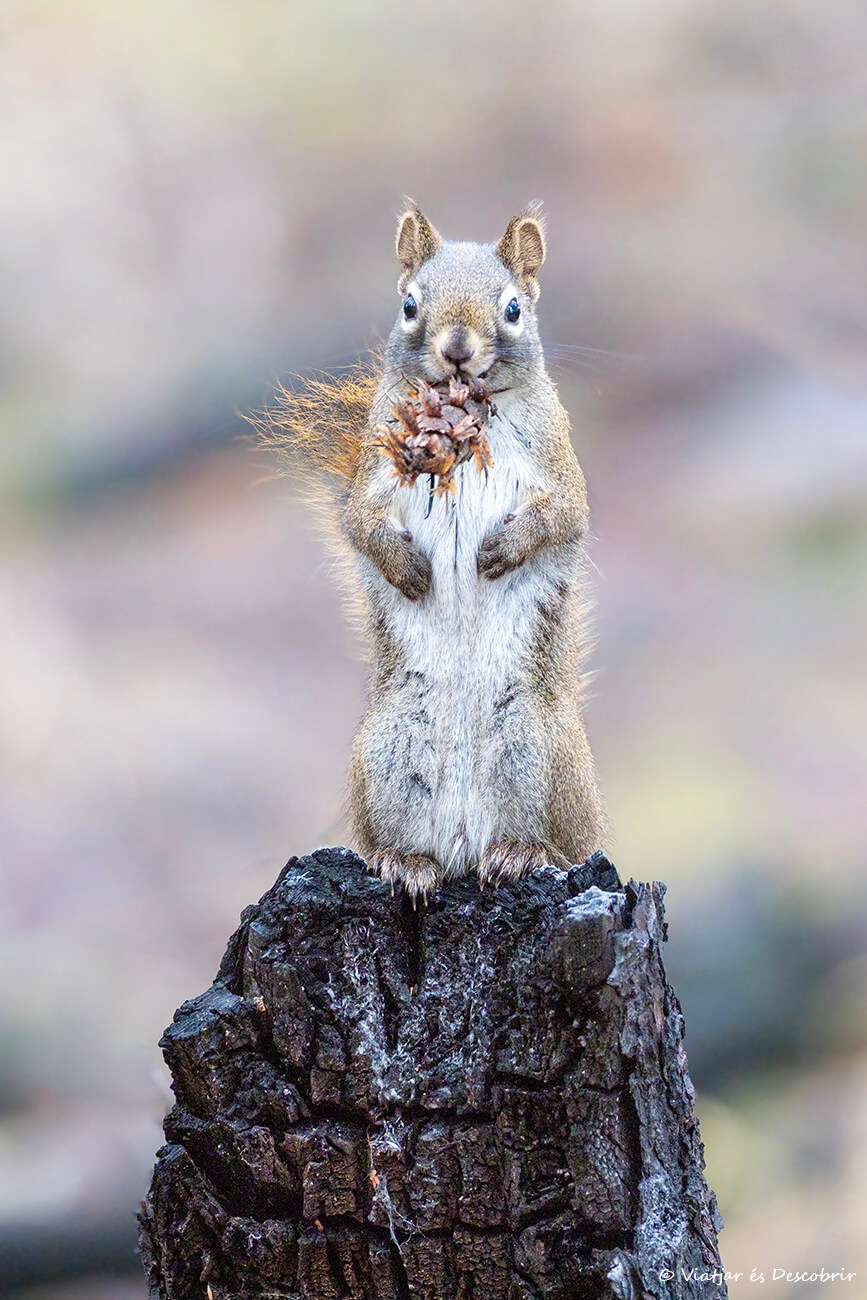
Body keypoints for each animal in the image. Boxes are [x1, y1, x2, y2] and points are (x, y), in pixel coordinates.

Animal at [257, 203, 606, 900]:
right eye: (410, 304)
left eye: (513, 309)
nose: (457, 349)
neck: (468, 418)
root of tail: (464, 848)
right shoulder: (373, 475)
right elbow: (361, 525)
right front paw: (407, 568)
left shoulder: (560, 465)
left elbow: (563, 517)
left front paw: (503, 548)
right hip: (389, 754)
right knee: (398, 840)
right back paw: (407, 863)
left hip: (536, 750)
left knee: (551, 841)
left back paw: (521, 853)